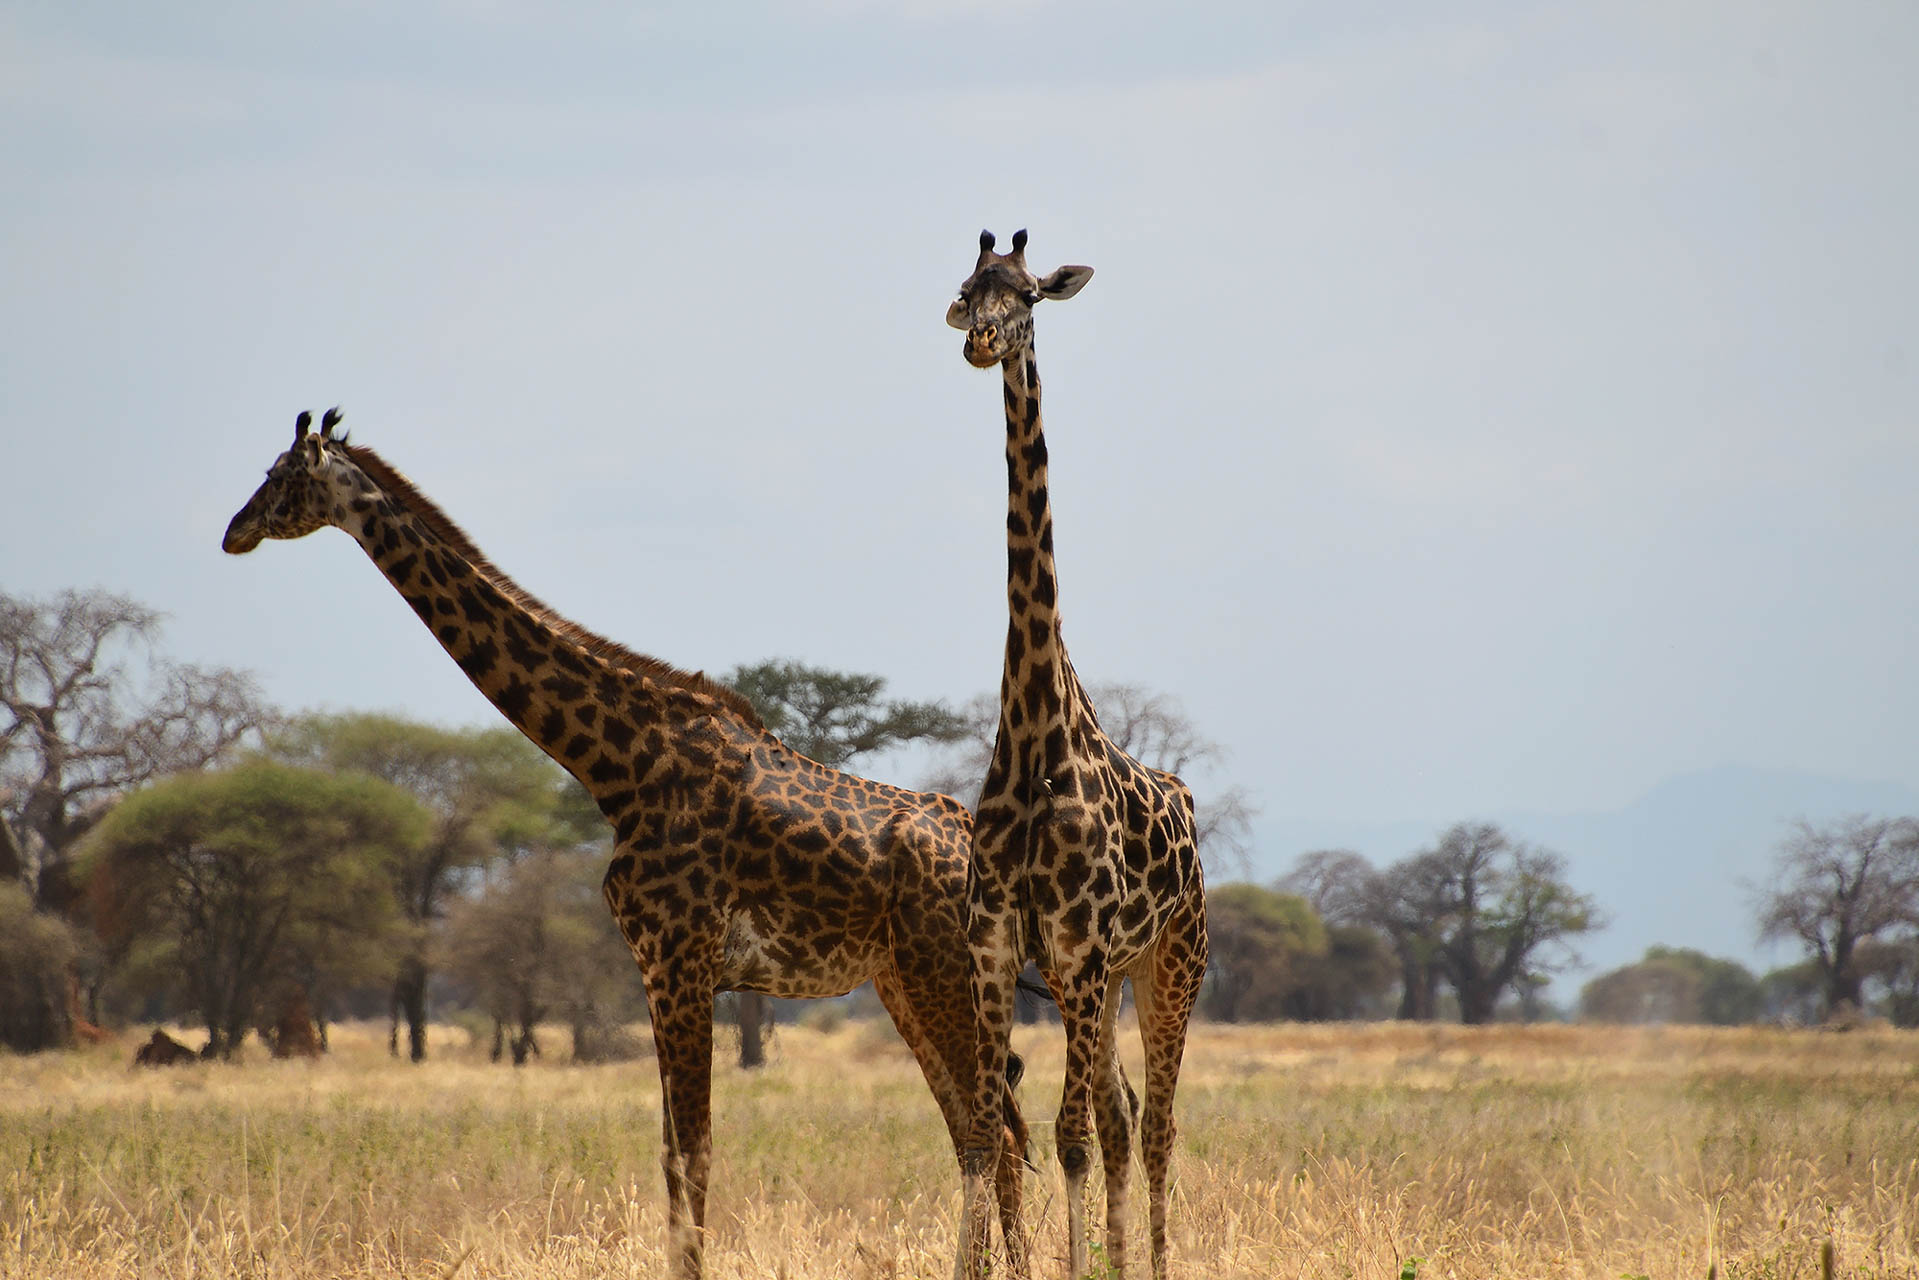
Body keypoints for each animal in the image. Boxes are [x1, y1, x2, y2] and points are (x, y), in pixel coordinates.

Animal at [220, 410, 1036, 1280]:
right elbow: (672, 1154)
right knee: (983, 1129)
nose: (234, 532)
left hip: (939, 975)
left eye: (280, 475)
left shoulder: (680, 958)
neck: (618, 764)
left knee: (990, 1131)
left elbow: (694, 1154)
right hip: (905, 982)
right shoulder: (654, 967)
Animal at [947, 233, 1212, 1280]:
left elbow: (1063, 1139)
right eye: (966, 289)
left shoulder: (1084, 947)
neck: (1031, 734)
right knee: (1122, 1113)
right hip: (1089, 982)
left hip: (1170, 961)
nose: (979, 341)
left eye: (1026, 297)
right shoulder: (997, 946)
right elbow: (987, 1134)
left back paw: (1158, 1265)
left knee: (1156, 1127)